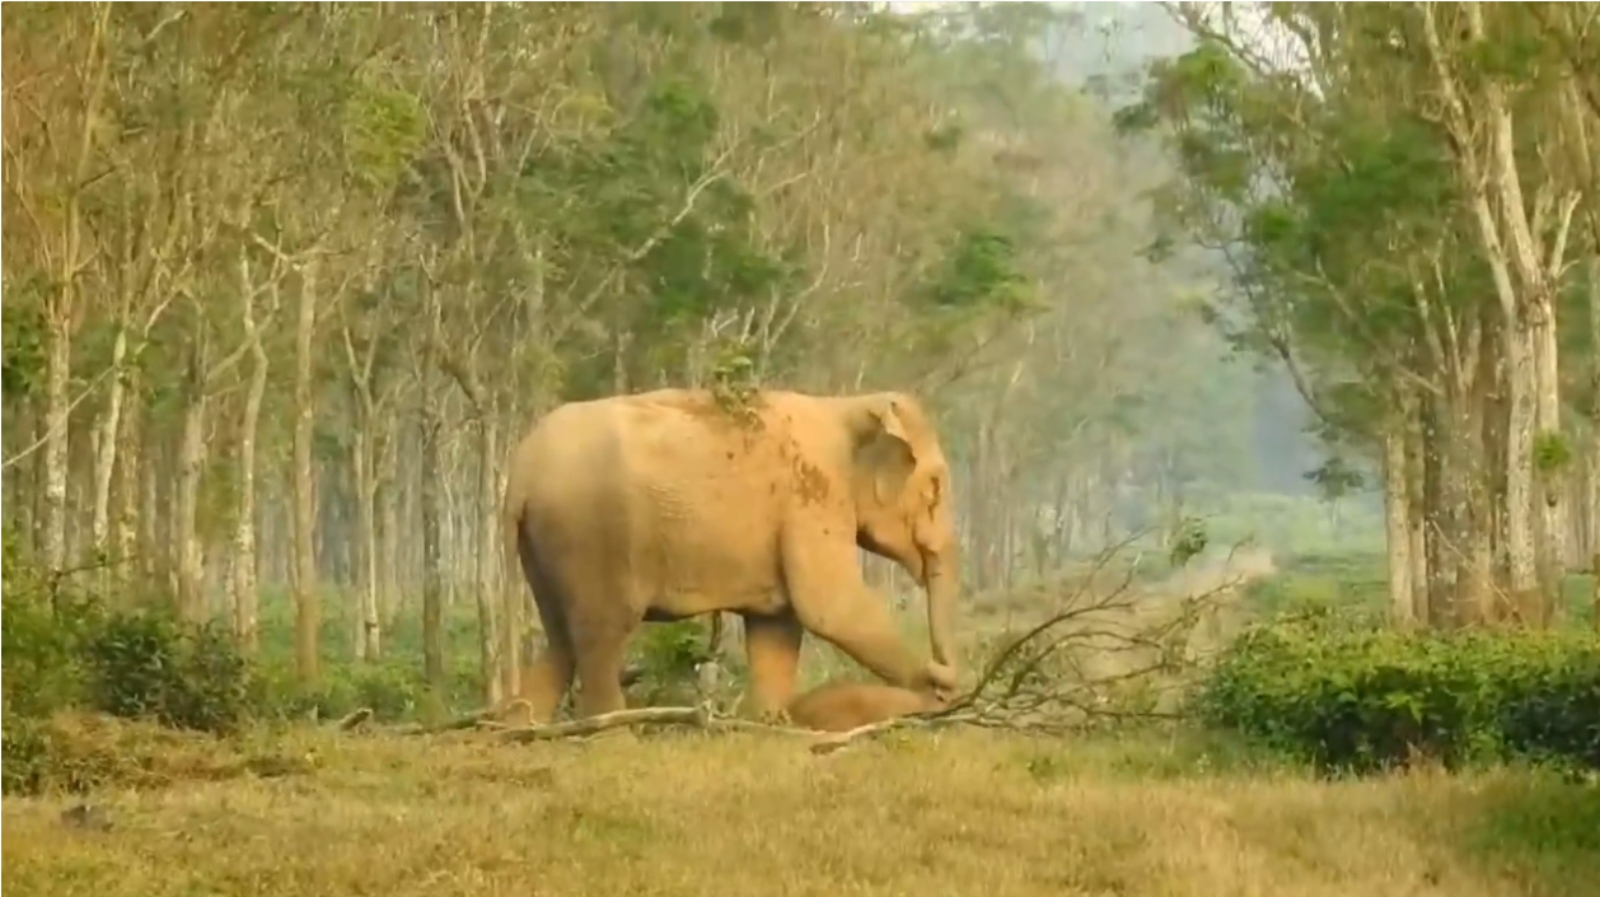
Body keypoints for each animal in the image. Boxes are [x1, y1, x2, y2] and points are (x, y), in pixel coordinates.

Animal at [502, 385, 960, 719]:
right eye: (936, 486)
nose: (946, 669)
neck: (848, 404)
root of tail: (522, 470)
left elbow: (777, 626)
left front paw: (769, 723)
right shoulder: (811, 497)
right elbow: (830, 608)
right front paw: (937, 685)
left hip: (548, 544)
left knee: (560, 640)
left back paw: (524, 729)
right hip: (593, 535)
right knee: (600, 637)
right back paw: (614, 735)